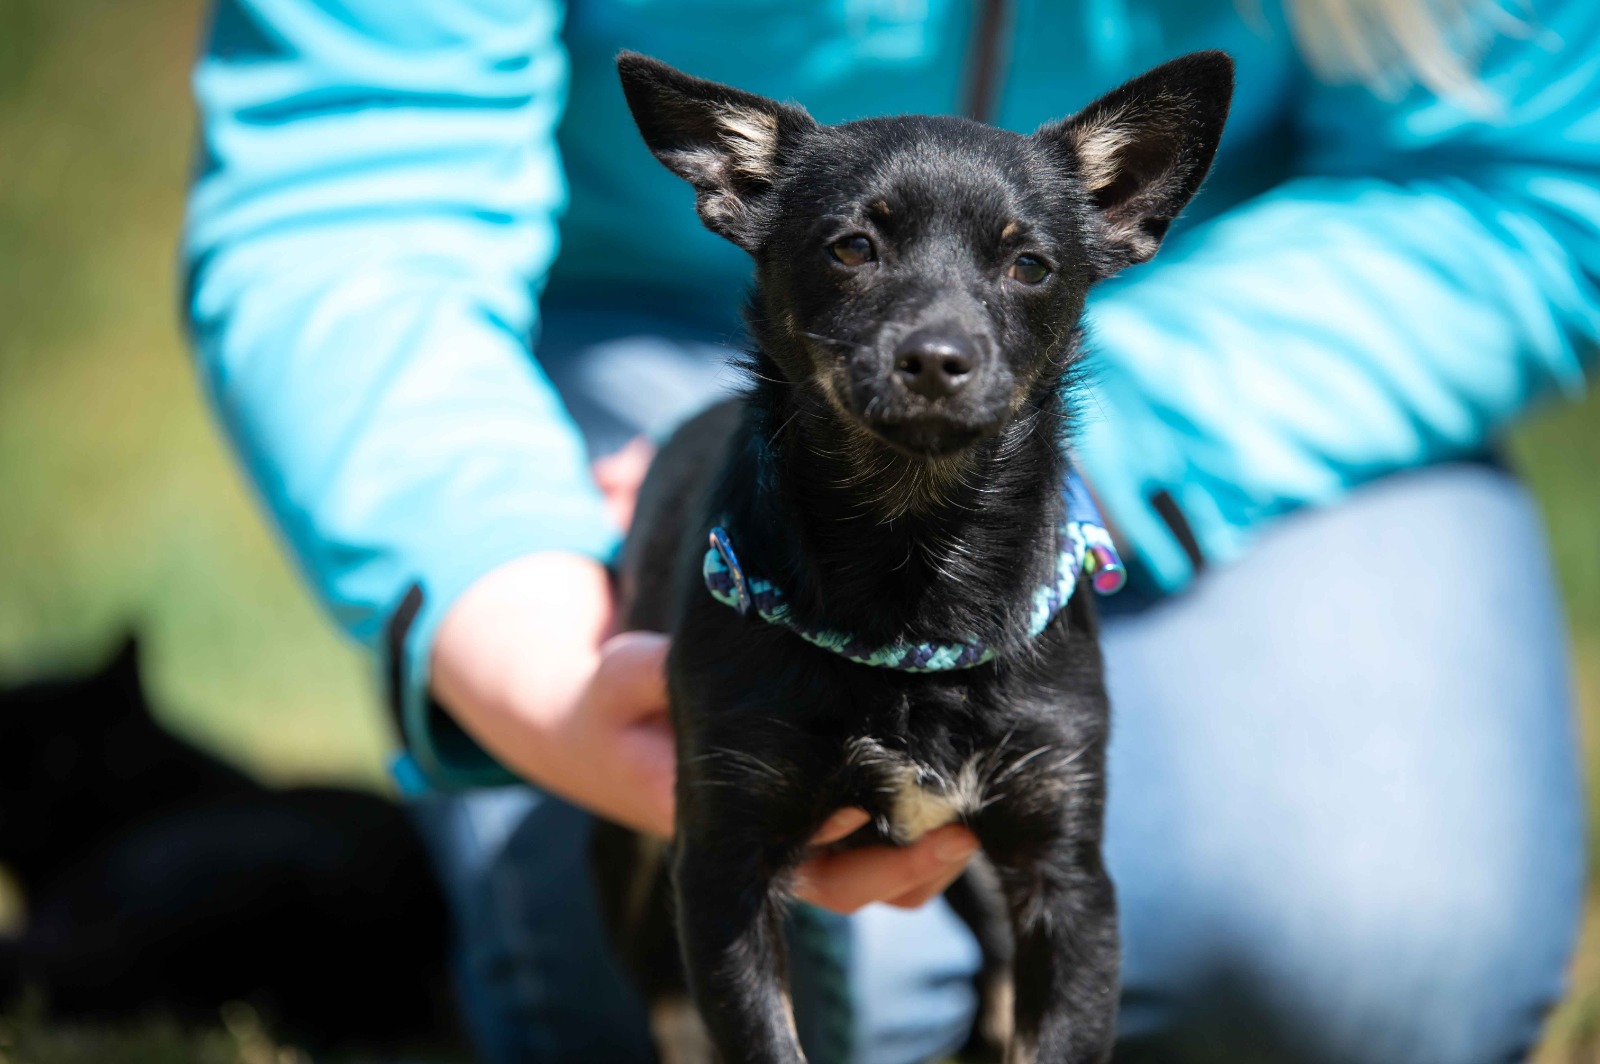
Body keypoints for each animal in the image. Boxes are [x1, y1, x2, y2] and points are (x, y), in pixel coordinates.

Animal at [593, 51, 1233, 1064]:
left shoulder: (1066, 874)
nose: (936, 357)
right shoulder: (723, 866)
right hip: (630, 860)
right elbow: (759, 1037)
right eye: (852, 248)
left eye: (1029, 265)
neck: (915, 550)